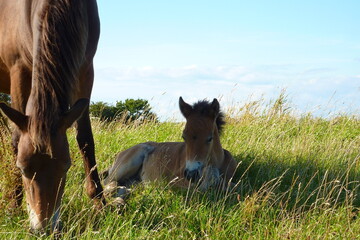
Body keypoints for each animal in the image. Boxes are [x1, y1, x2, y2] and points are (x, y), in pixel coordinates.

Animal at [0, 0, 104, 232]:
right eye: (22, 168)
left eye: (66, 166)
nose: (43, 228)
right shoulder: (19, 70)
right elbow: (16, 139)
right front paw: (13, 204)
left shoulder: (86, 70)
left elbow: (85, 138)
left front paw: (99, 202)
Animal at [102, 97, 236, 201]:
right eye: (184, 137)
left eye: (209, 138)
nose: (191, 174)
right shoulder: (175, 181)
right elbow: (204, 181)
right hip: (126, 164)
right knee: (107, 182)